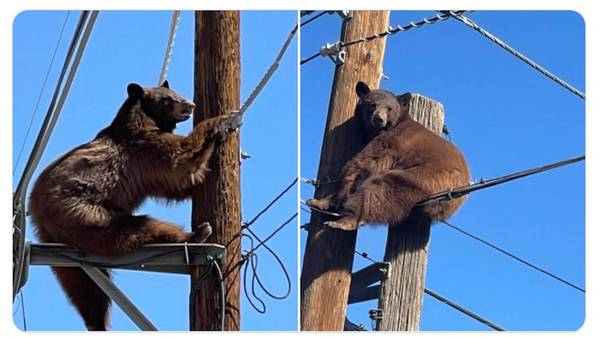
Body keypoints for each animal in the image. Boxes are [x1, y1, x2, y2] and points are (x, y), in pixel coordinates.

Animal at [28, 80, 234, 330]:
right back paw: (196, 234)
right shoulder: (143, 148)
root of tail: (36, 210)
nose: (190, 104)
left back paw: (96, 322)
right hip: (85, 212)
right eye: (168, 99)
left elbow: (176, 185)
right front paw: (221, 121)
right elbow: (180, 163)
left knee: (83, 287)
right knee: (136, 228)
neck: (143, 118)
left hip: (66, 243)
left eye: (175, 93)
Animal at [308, 80, 472, 230]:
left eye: (389, 108)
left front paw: (324, 201)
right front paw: (318, 201)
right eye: (372, 104)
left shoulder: (392, 141)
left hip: (429, 177)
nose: (379, 119)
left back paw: (346, 221)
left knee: (381, 189)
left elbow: (365, 163)